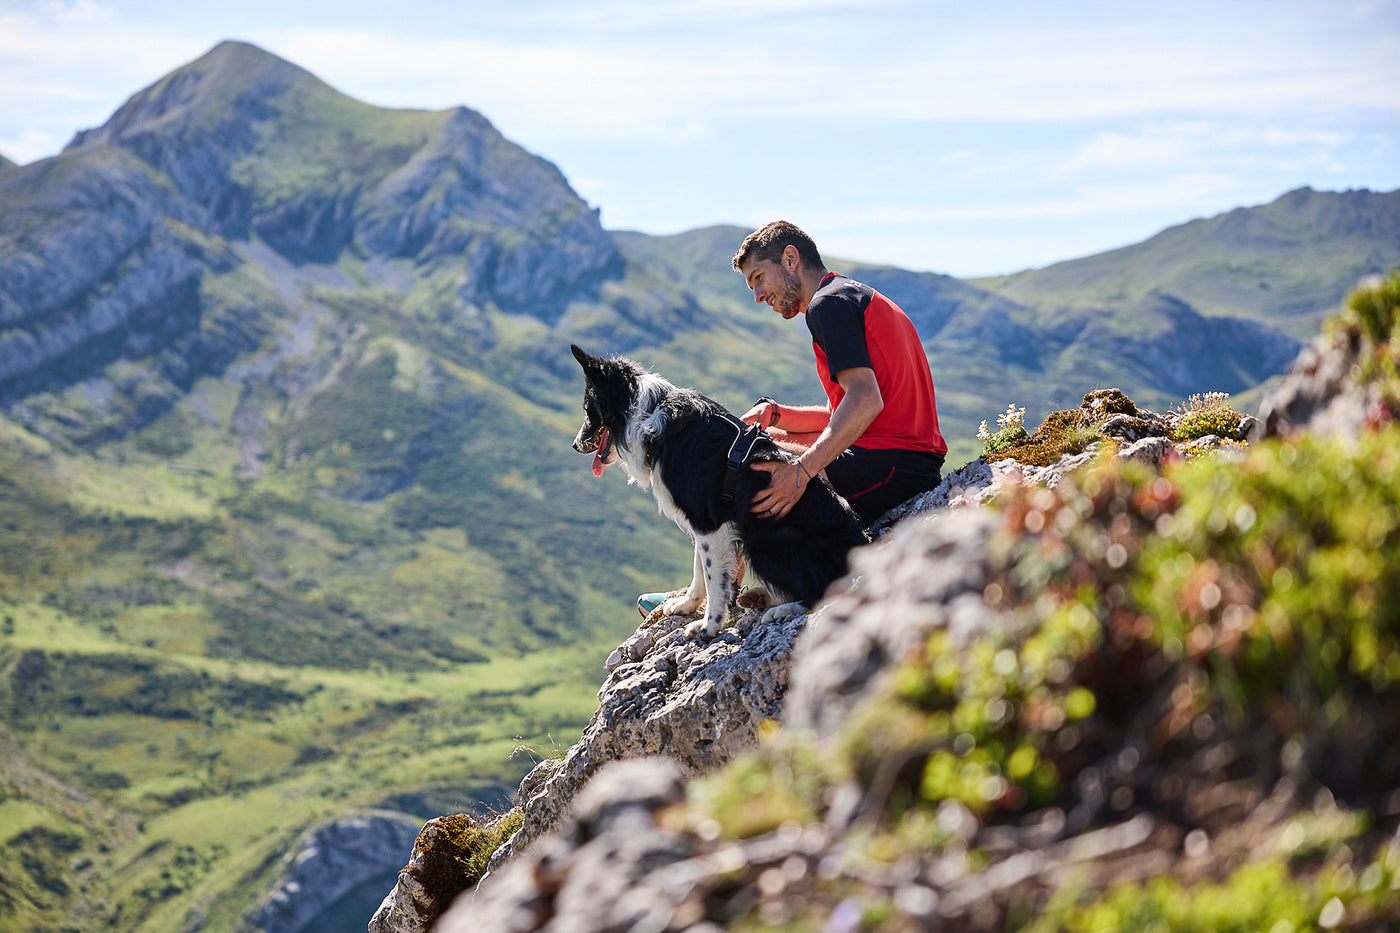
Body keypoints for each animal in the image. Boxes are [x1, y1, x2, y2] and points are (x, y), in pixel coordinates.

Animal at [568, 344, 862, 636]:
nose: (575, 445)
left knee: (825, 590)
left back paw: (779, 609)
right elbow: (699, 568)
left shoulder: (708, 521)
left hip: (765, 540)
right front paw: (687, 605)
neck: (648, 413)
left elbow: (713, 577)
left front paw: (709, 625)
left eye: (588, 408)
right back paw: (757, 598)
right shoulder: (699, 521)